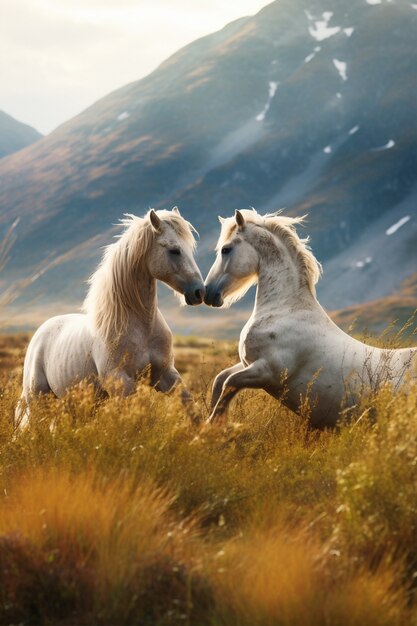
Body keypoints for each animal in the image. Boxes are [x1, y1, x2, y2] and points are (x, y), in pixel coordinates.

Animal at [17, 207, 203, 426]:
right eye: (174, 250)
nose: (200, 291)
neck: (142, 327)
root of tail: (41, 332)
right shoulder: (120, 382)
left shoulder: (165, 374)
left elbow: (189, 404)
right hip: (38, 400)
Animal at [204, 207, 416, 426]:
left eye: (226, 249)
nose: (208, 292)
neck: (285, 309)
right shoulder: (247, 363)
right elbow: (220, 379)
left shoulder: (267, 372)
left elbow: (229, 384)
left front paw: (212, 426)